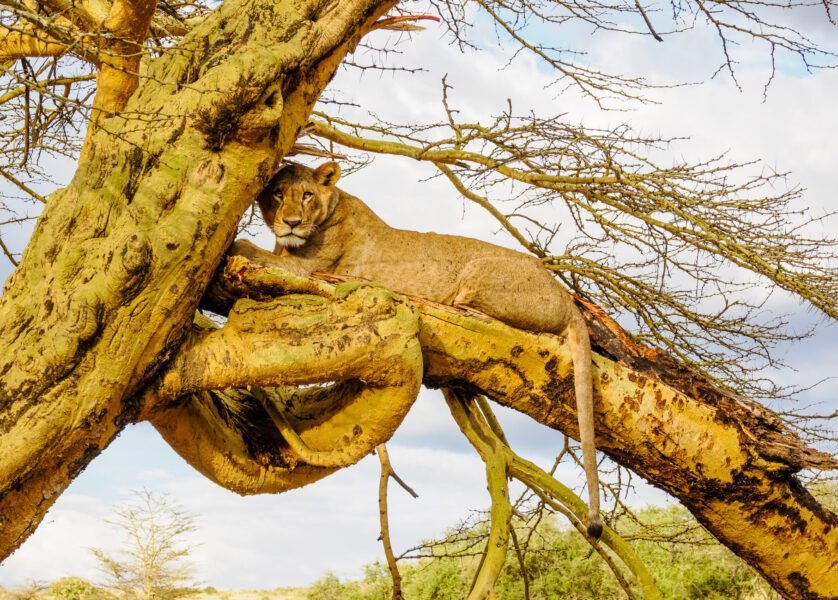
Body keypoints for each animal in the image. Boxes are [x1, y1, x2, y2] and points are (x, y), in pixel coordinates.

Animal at [232, 161, 602, 538]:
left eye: (307, 195)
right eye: (278, 194)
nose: (292, 222)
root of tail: (565, 296)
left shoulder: (309, 269)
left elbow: (247, 245)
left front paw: (235, 243)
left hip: (477, 273)